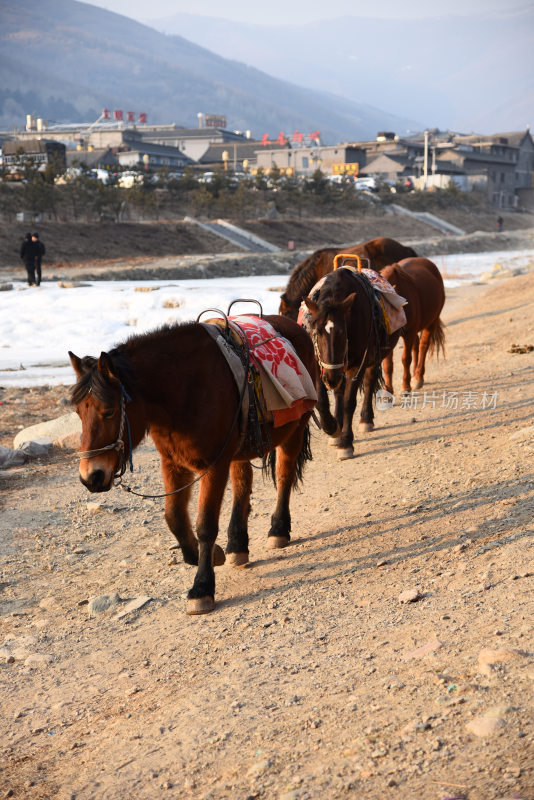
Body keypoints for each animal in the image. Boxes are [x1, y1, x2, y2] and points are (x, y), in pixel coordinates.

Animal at [304, 268, 400, 460]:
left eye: (343, 332)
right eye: (317, 331)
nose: (331, 378)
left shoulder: (357, 364)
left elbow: (349, 401)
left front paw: (345, 443)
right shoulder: (318, 364)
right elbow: (322, 401)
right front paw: (332, 428)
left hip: (371, 359)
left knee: (369, 383)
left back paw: (365, 420)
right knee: (339, 392)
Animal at [382, 256, 448, 394]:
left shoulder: (408, 333)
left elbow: (406, 359)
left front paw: (405, 386)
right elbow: (388, 364)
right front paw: (387, 392)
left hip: (431, 323)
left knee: (423, 346)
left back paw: (418, 377)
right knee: (416, 345)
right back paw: (414, 376)